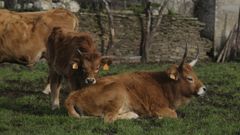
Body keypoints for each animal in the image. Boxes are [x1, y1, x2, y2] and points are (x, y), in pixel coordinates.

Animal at [64, 44, 206, 122]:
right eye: (189, 78)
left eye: (196, 75)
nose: (204, 88)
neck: (163, 85)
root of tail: (74, 95)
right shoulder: (157, 107)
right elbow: (174, 114)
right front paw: (157, 117)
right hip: (118, 90)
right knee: (108, 118)